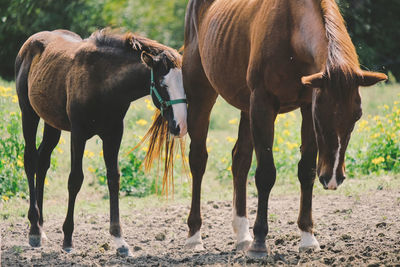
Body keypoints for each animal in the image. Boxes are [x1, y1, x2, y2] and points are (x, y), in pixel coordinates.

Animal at [15, 28, 188, 256]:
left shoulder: (114, 134)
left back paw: (42, 229)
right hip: (29, 114)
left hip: (51, 122)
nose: (180, 126)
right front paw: (68, 238)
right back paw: (34, 230)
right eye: (162, 83)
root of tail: (31, 41)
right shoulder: (78, 134)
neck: (103, 83)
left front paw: (119, 240)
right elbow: (75, 180)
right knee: (30, 161)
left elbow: (113, 179)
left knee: (43, 162)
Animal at [182, 0, 388, 258]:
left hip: (246, 105)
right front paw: (260, 243)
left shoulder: (306, 104)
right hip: (202, 94)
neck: (292, 30)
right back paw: (195, 236)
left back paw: (242, 235)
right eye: (321, 115)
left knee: (240, 161)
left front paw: (308, 237)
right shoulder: (264, 104)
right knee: (198, 160)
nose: (332, 178)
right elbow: (265, 174)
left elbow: (306, 170)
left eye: (357, 116)